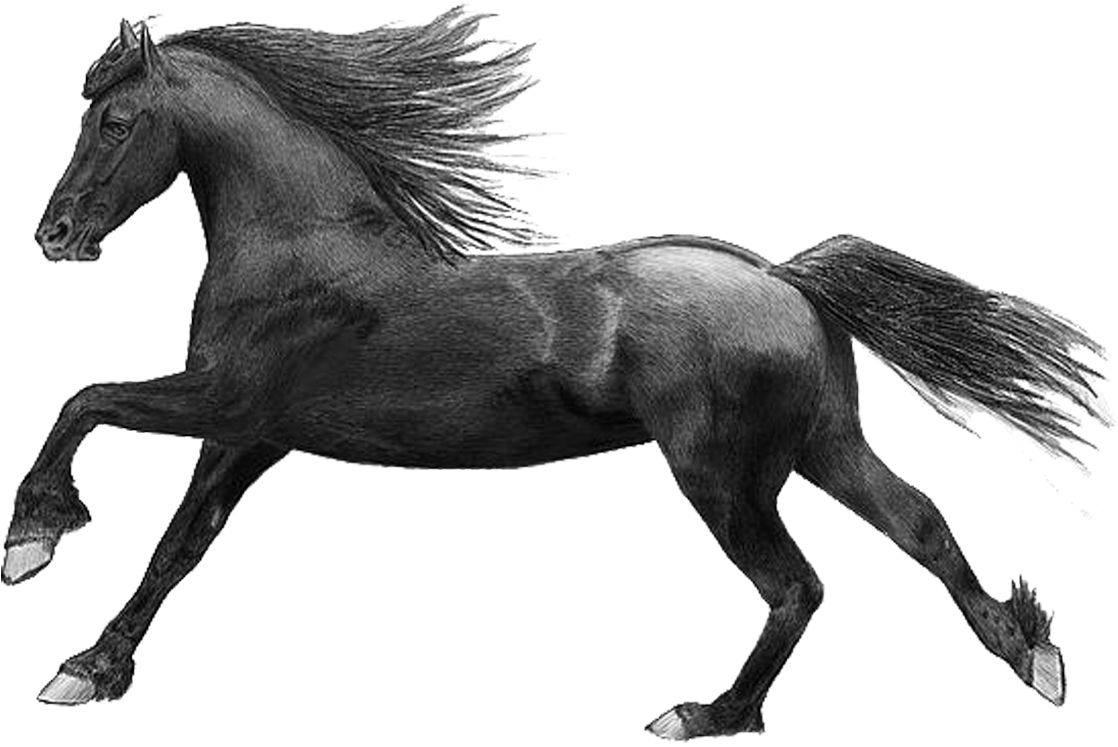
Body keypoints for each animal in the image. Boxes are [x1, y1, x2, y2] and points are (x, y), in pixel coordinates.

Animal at [10, 10, 1111, 732]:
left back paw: (702, 717)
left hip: (721, 472)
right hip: (820, 445)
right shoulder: (249, 435)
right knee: (920, 525)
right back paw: (1034, 658)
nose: (53, 237)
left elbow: (85, 398)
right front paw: (89, 668)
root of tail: (786, 280)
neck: (303, 248)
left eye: (114, 122)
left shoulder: (226, 400)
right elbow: (177, 547)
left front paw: (31, 541)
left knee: (796, 584)